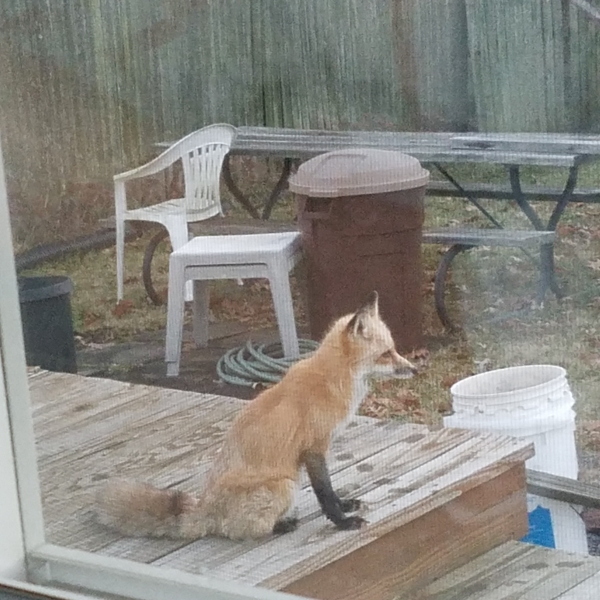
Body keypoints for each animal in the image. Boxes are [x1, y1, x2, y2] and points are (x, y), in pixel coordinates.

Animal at [97, 290, 418, 540]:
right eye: (386, 354)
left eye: (394, 349)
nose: (415, 369)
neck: (332, 380)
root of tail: (203, 508)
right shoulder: (313, 448)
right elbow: (324, 492)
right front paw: (341, 521)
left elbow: (331, 491)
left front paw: (345, 506)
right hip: (284, 484)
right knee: (234, 531)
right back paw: (280, 525)